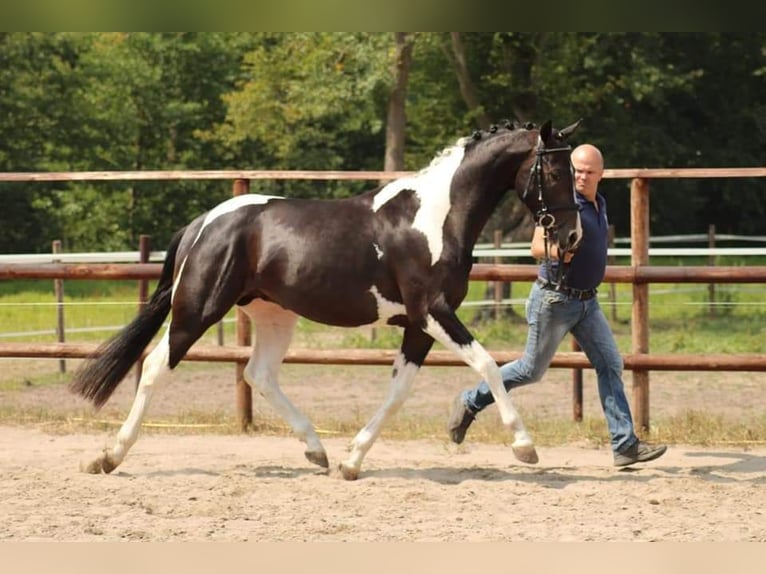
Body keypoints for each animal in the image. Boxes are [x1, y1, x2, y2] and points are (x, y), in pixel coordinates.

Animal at [73, 118, 588, 482]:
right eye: (554, 170)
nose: (571, 236)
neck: (435, 217)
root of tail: (203, 223)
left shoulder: (417, 325)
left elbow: (399, 391)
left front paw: (352, 461)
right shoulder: (433, 312)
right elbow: (485, 364)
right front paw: (524, 446)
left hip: (274, 315)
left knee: (259, 374)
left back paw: (316, 450)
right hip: (197, 308)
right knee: (156, 365)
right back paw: (108, 457)